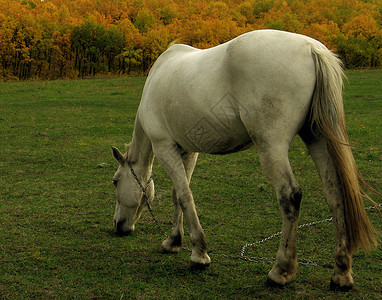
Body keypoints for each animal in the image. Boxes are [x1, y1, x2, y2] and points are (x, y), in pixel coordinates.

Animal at [112, 29, 378, 290]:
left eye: (115, 181)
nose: (118, 226)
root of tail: (312, 48)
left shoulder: (165, 147)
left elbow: (185, 196)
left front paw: (199, 254)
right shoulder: (187, 151)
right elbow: (179, 195)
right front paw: (173, 241)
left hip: (272, 147)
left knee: (290, 196)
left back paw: (280, 271)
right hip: (317, 138)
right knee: (335, 193)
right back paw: (341, 272)